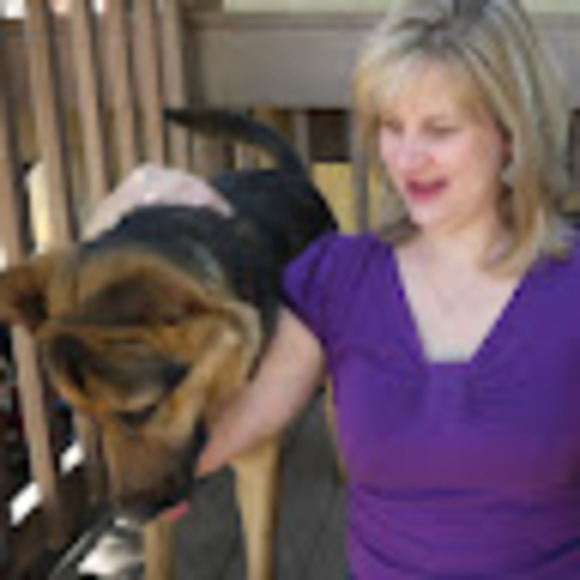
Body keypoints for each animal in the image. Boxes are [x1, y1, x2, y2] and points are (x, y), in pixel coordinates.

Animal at [0, 108, 337, 579]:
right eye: (88, 417)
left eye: (141, 411)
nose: (132, 515)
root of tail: (289, 174)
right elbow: (158, 561)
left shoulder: (254, 468)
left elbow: (260, 557)